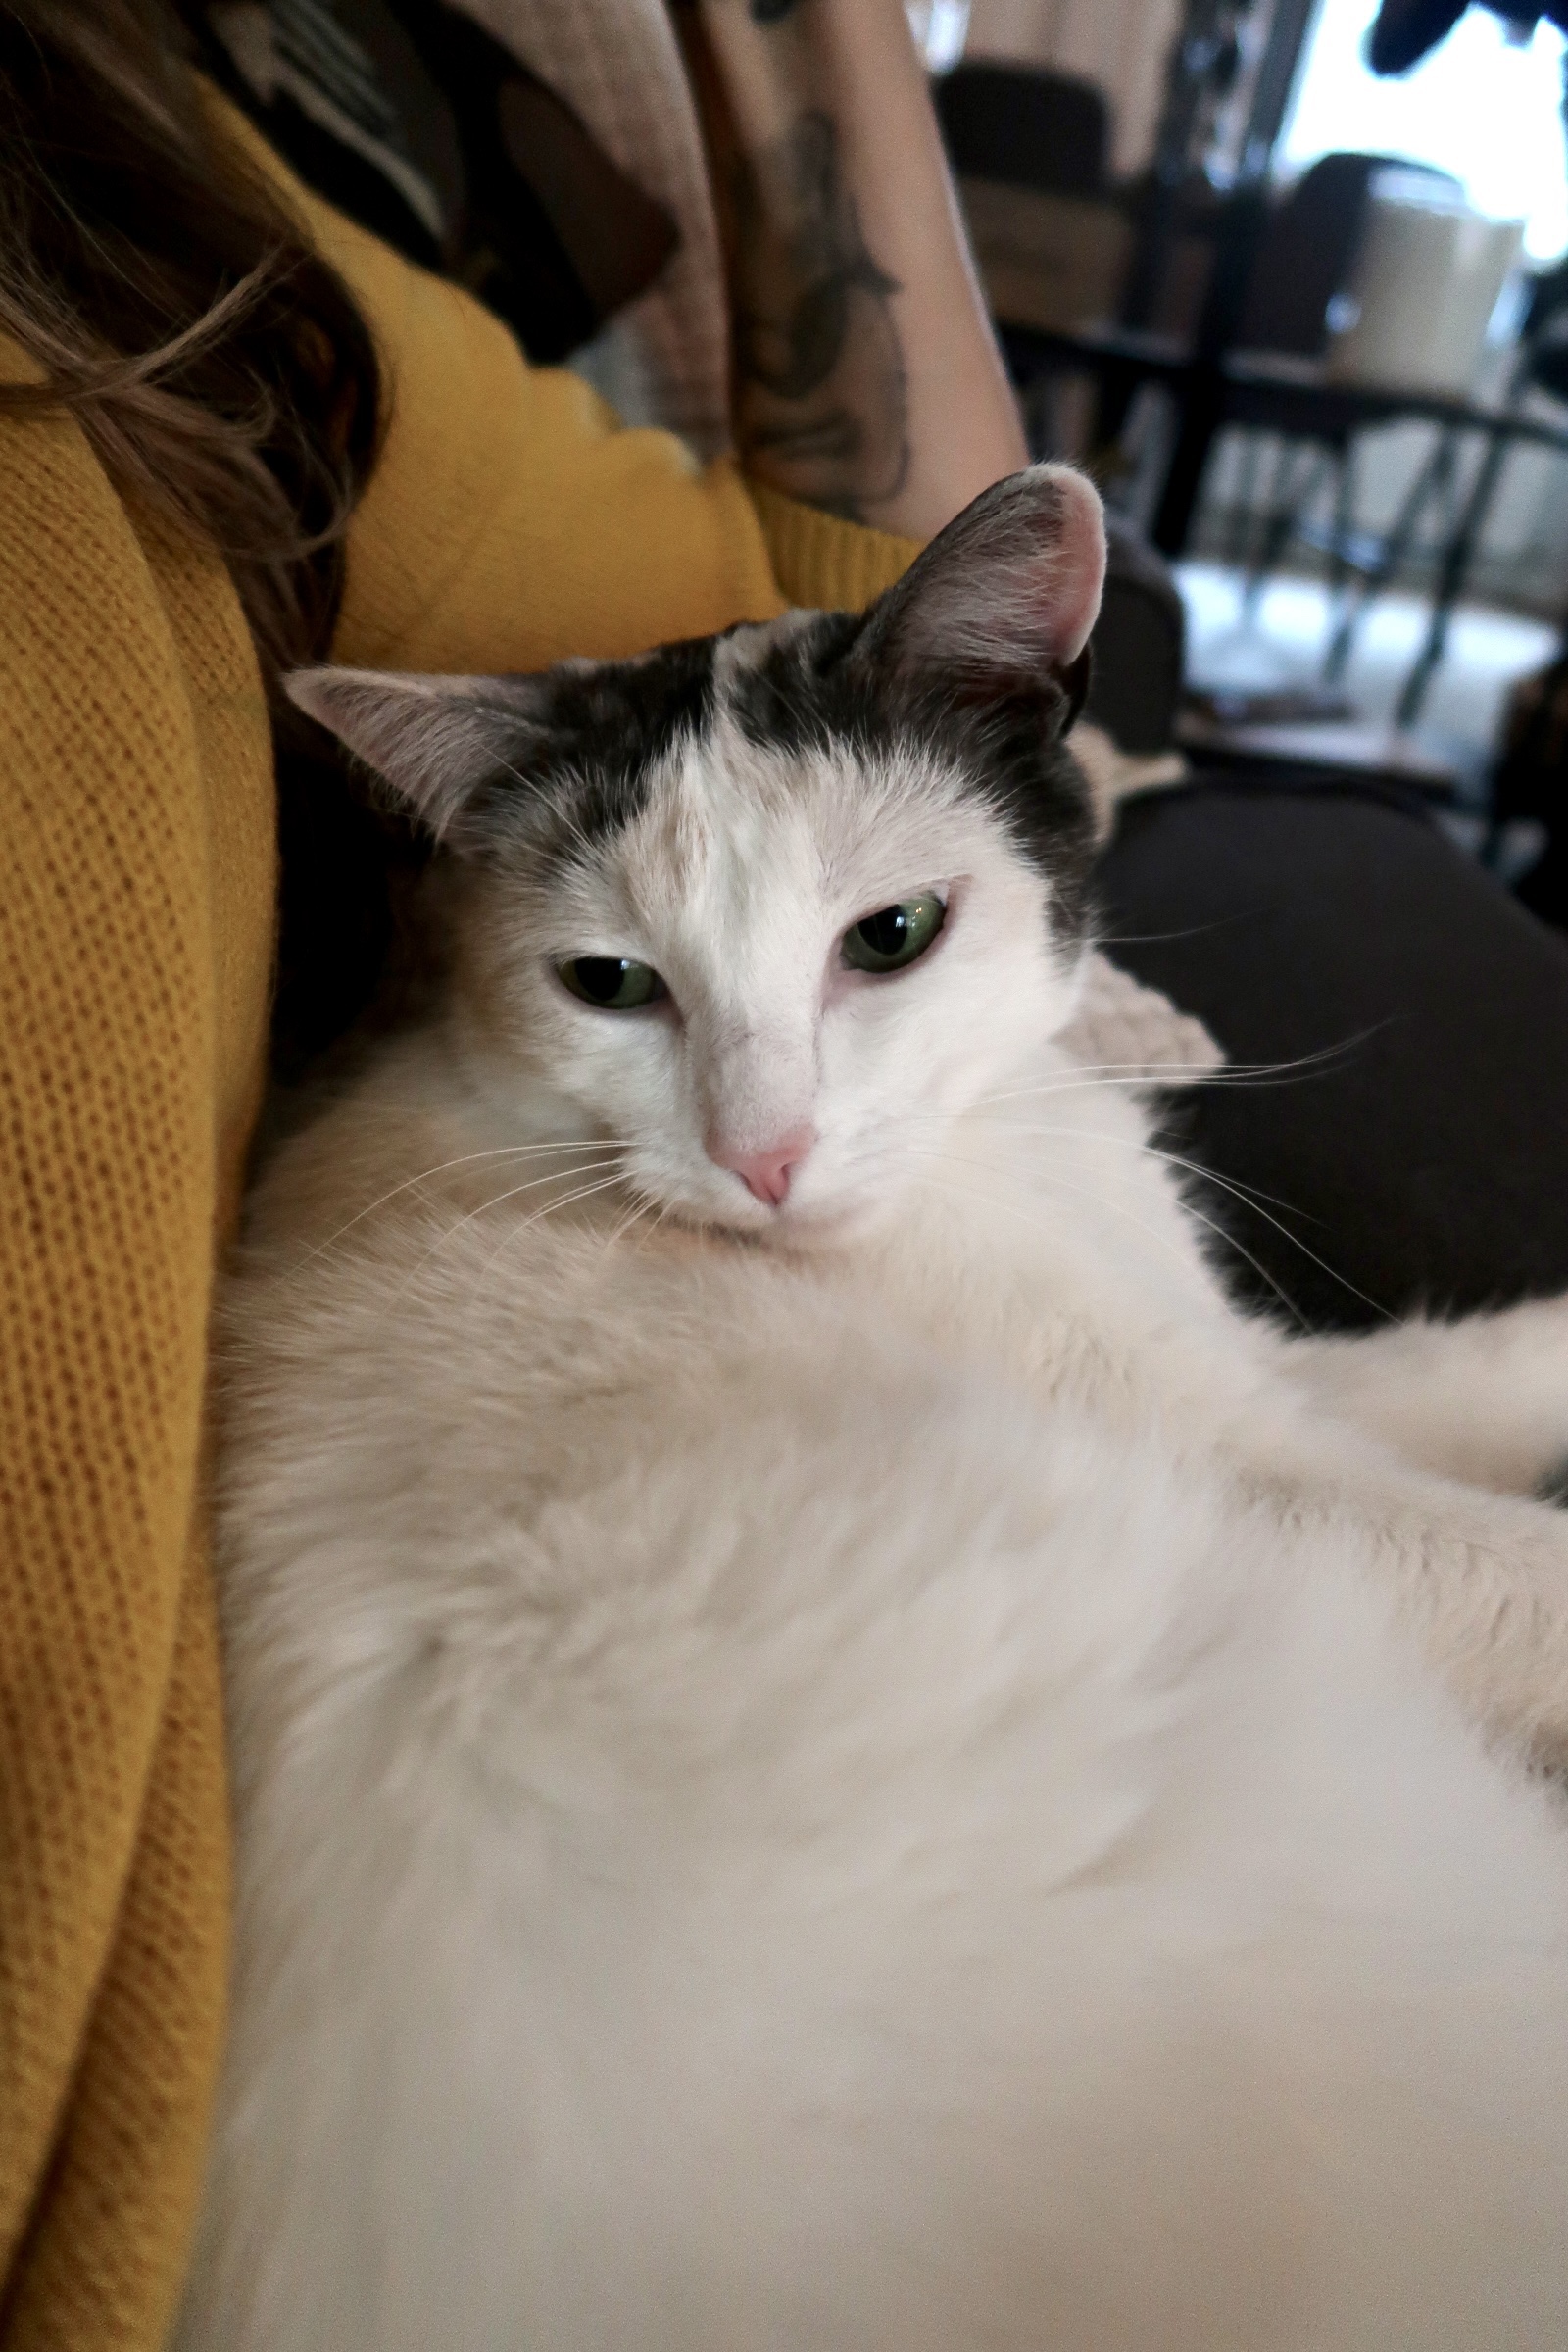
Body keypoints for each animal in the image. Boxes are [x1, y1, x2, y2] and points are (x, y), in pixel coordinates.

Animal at [179, 465, 1568, 2352]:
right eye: (610, 984)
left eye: (892, 939)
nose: (765, 1157)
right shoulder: (1255, 1480)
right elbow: (1505, 1560)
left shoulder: (1245, 1373)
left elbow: (1436, 1366)